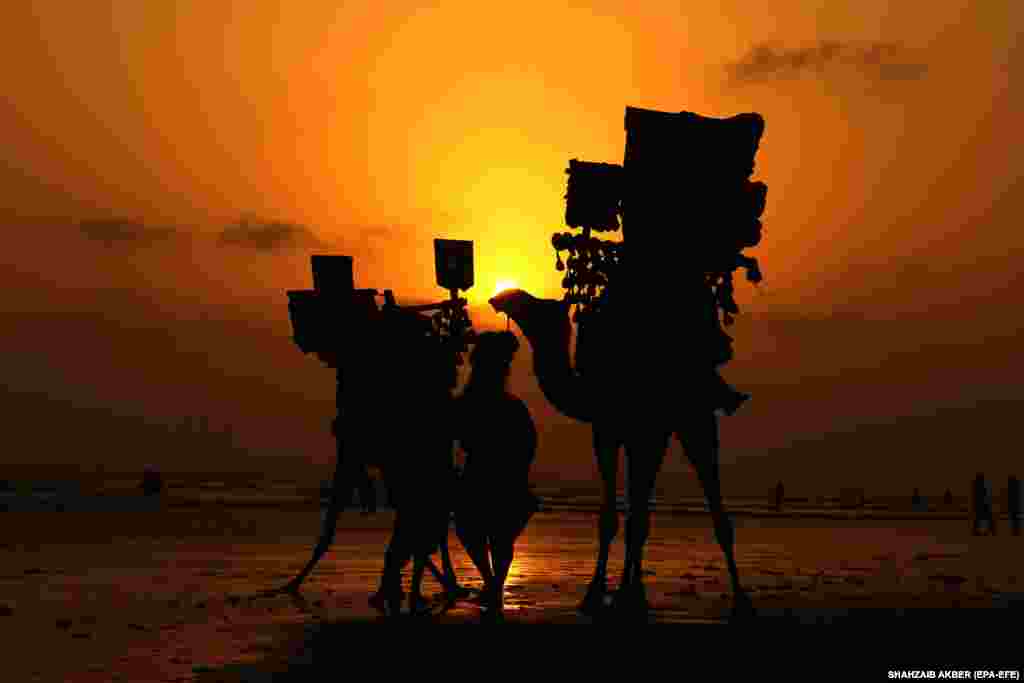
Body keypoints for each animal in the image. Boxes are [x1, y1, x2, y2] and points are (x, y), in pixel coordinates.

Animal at [491, 288, 757, 618]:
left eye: (542, 307)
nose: (503, 297)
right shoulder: (608, 433)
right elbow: (614, 518)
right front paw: (599, 594)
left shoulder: (645, 434)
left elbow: (635, 519)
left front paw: (626, 596)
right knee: (643, 507)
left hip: (695, 420)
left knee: (712, 498)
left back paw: (742, 602)